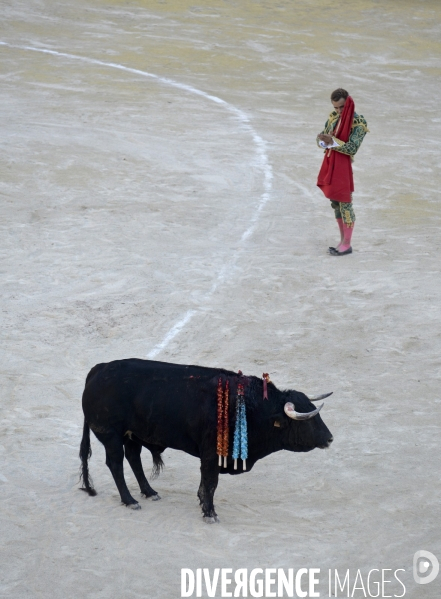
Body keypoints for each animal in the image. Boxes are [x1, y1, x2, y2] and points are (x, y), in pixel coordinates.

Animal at [80, 358, 334, 524]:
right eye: (307, 420)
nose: (330, 438)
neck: (252, 408)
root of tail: (97, 370)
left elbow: (206, 483)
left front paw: (203, 504)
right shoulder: (211, 454)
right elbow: (211, 482)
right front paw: (210, 513)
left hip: (132, 435)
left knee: (133, 458)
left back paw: (149, 492)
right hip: (111, 435)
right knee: (116, 464)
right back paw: (130, 500)